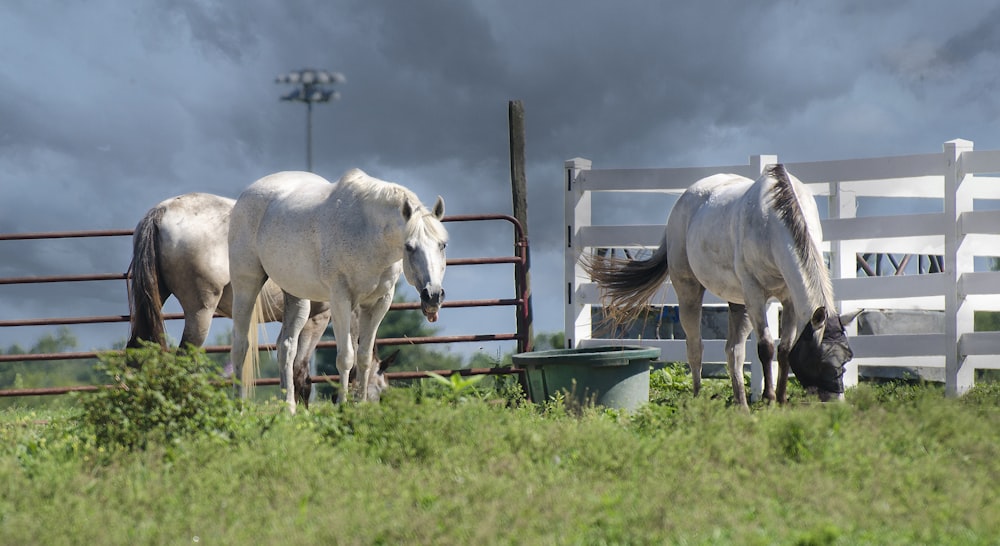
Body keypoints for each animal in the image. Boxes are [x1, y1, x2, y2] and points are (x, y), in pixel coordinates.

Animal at [230, 168, 450, 410]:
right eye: (409, 247)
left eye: (442, 245)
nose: (433, 296)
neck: (367, 233)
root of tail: (247, 193)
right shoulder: (341, 300)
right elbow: (346, 357)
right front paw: (343, 406)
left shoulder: (378, 303)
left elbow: (363, 357)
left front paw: (361, 405)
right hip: (245, 285)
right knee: (240, 346)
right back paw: (239, 407)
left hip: (296, 296)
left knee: (286, 347)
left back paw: (289, 408)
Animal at [584, 165, 856, 408]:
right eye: (821, 360)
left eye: (847, 359)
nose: (837, 402)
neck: (773, 219)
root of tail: (683, 201)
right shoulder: (755, 294)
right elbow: (766, 346)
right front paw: (768, 399)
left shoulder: (788, 297)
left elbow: (785, 349)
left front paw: (781, 399)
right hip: (689, 291)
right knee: (696, 347)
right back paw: (698, 397)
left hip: (737, 303)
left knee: (733, 351)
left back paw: (742, 404)